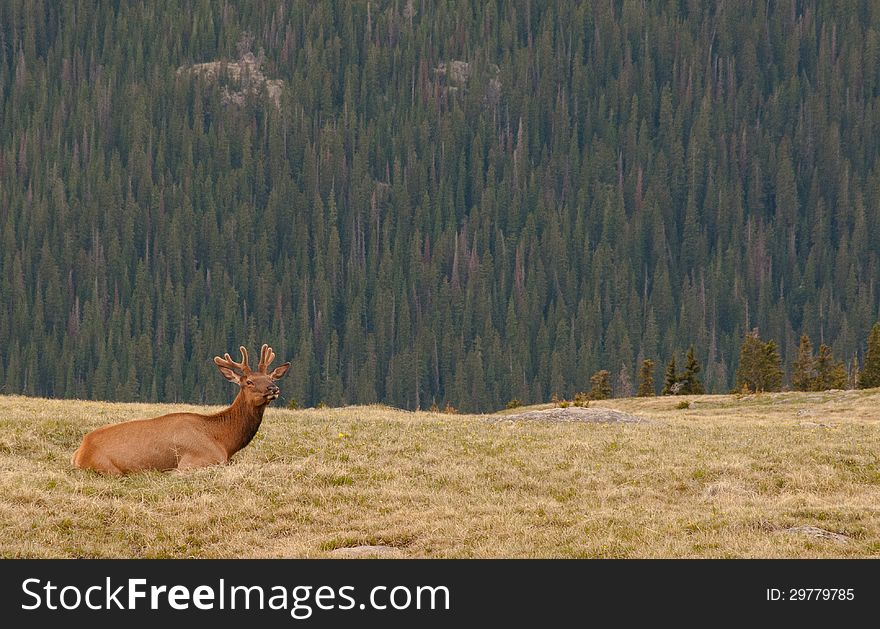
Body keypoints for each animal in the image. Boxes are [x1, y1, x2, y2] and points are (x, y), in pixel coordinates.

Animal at [72, 346, 290, 474]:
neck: (223, 441)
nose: (274, 389)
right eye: (249, 382)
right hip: (108, 468)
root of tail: (80, 452)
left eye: (271, 377)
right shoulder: (195, 462)